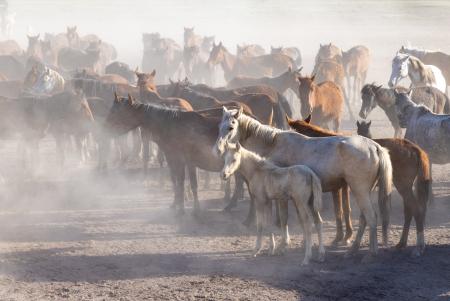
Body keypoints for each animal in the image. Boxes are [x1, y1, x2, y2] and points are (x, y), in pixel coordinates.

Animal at [213, 106, 392, 258]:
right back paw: (353, 249)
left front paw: (282, 245)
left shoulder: (281, 196)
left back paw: (371, 252)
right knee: (364, 219)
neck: (273, 144)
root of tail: (375, 146)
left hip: (359, 190)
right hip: (364, 192)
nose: (218, 150)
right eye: (219, 126)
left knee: (371, 217)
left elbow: (283, 218)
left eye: (230, 127)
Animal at [288, 115, 432, 255]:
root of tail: (416, 149)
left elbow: (340, 210)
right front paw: (346, 237)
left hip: (402, 186)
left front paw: (341, 237)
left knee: (416, 210)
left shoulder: (338, 188)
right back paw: (402, 243)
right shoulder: (344, 187)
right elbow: (345, 209)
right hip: (403, 188)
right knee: (409, 212)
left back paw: (418, 247)